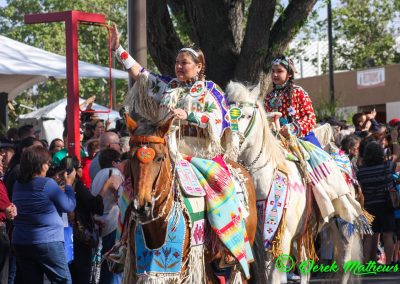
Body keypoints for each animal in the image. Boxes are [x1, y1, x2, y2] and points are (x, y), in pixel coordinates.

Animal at [122, 116, 260, 284]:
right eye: (130, 157)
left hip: (237, 264)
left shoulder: (183, 269)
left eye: (160, 158)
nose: (142, 207)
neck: (159, 223)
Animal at [225, 81, 366, 284]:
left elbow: (276, 275)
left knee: (344, 259)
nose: (231, 145)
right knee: (307, 265)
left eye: (247, 115)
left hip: (343, 221)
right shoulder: (261, 241)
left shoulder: (281, 236)